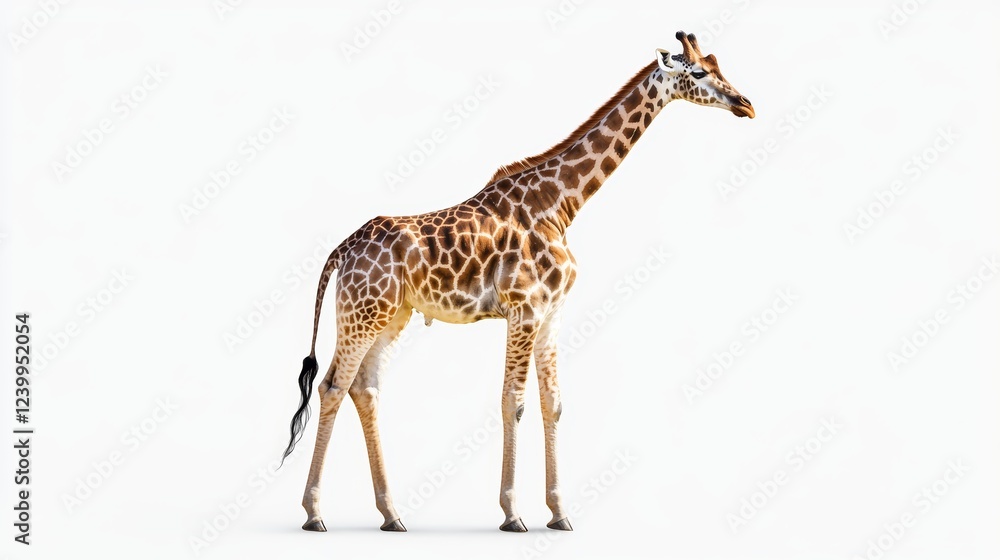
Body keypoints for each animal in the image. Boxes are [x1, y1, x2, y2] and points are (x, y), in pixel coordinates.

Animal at [282, 31, 754, 533]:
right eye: (699, 71)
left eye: (718, 63)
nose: (746, 105)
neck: (560, 206)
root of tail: (340, 251)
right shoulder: (523, 309)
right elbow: (514, 401)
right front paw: (513, 513)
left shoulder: (552, 314)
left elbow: (553, 404)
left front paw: (560, 513)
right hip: (361, 313)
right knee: (332, 386)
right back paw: (315, 514)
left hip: (391, 315)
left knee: (364, 389)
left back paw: (392, 515)